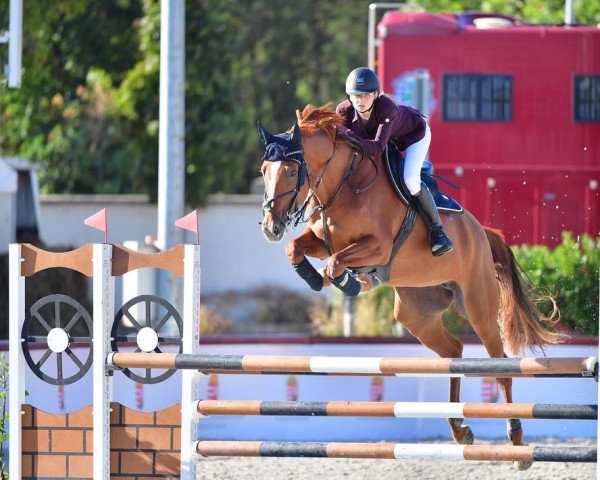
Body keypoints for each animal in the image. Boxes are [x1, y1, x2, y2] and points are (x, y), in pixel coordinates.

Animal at [256, 105, 556, 468]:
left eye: (289, 171)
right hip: (416, 314)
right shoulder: (319, 239)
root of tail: (480, 232)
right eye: (263, 170)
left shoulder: (378, 247)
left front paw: (349, 281)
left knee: (501, 369)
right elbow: (296, 249)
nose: (270, 227)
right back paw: (460, 430)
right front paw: (318, 278)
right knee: (453, 352)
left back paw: (516, 443)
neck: (343, 187)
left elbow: (336, 262)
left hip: (479, 307)